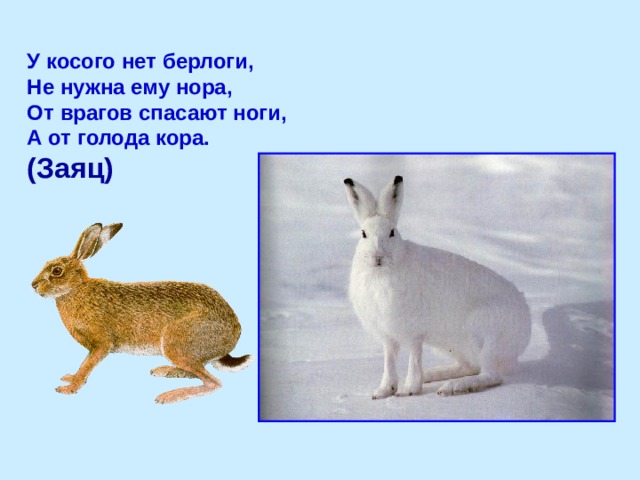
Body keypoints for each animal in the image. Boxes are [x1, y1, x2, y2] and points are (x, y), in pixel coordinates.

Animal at [31, 222, 253, 404]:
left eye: (56, 271)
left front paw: (69, 387)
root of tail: (232, 336)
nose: (33, 285)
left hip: (176, 342)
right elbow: (83, 364)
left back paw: (169, 396)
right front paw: (70, 378)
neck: (76, 289)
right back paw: (165, 371)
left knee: (213, 383)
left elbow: (88, 364)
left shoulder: (101, 344)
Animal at [344, 176, 531, 399]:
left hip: (484, 333)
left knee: (490, 374)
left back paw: (454, 387)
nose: (377, 257)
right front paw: (382, 392)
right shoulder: (387, 335)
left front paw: (409, 390)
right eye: (363, 234)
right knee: (470, 366)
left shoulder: (414, 332)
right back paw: (434, 375)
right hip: (453, 344)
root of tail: (524, 332)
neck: (381, 273)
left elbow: (414, 358)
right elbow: (389, 362)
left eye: (392, 233)